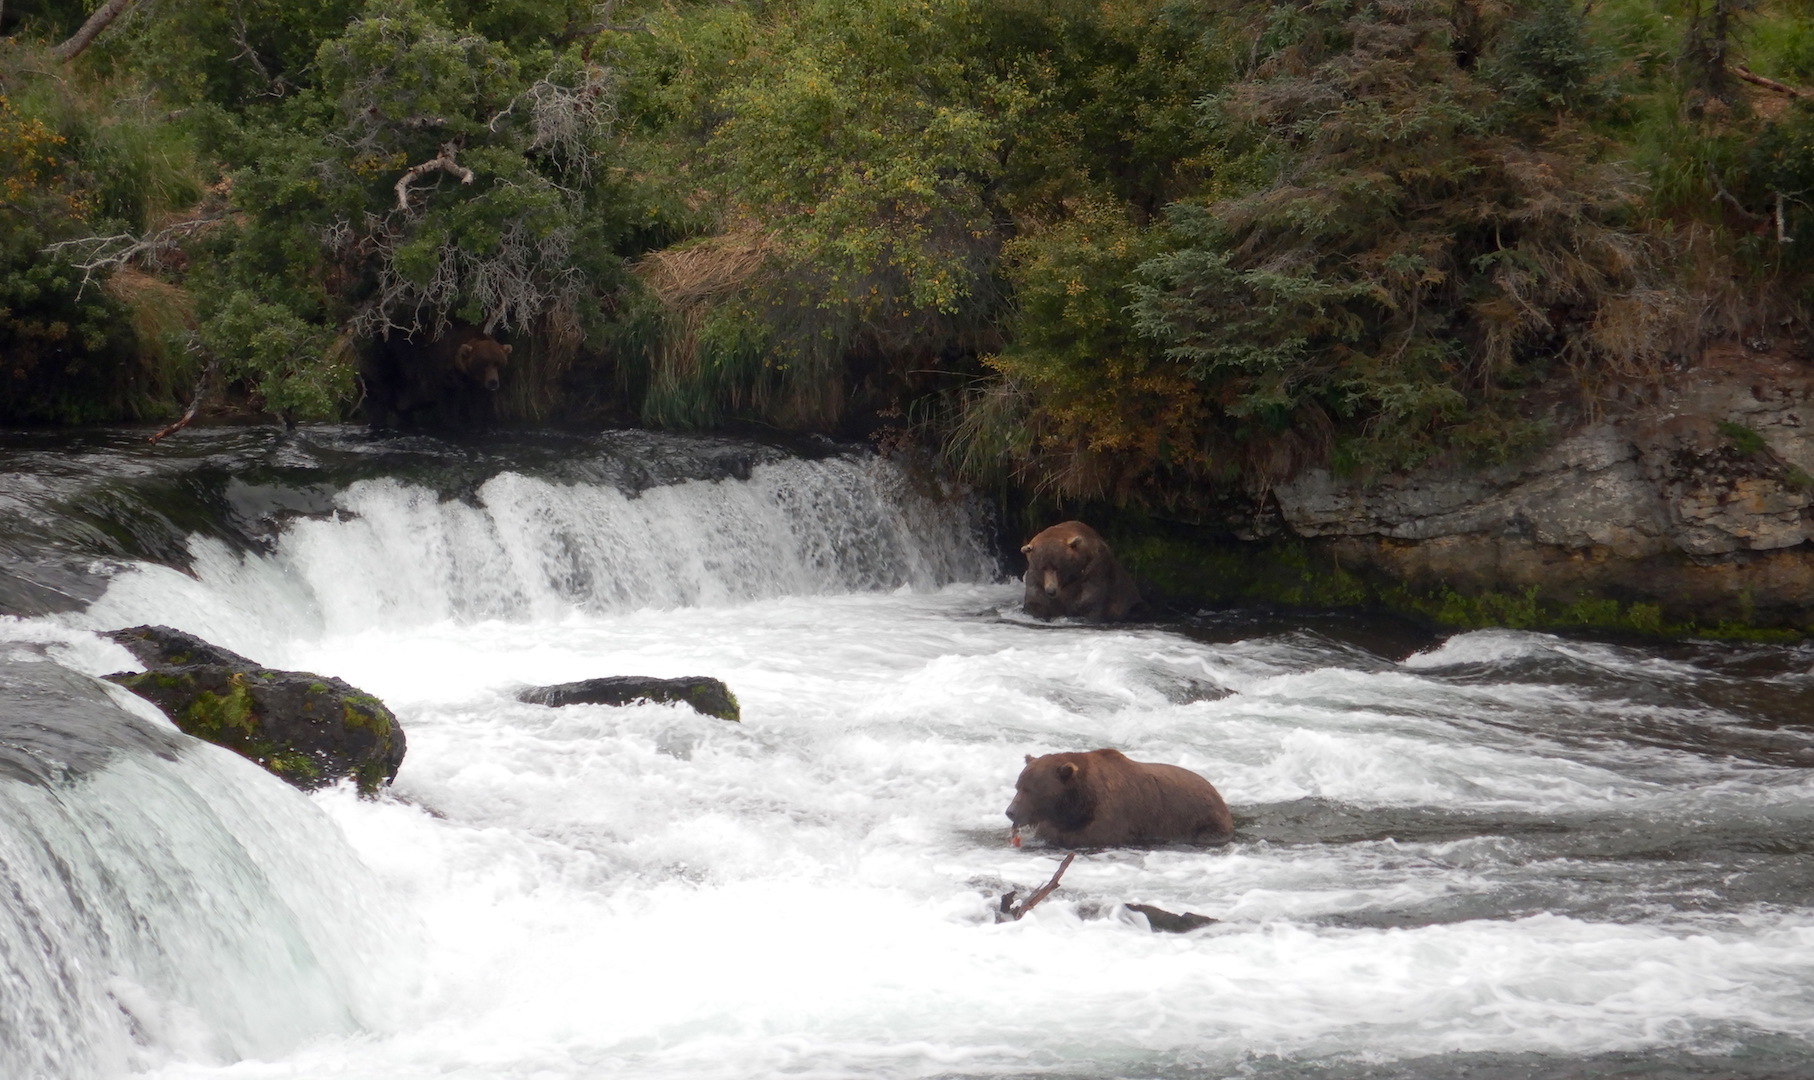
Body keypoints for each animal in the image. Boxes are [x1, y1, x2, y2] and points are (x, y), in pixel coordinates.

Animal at [361, 322, 512, 431]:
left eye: (498, 363)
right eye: (483, 364)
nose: (493, 382)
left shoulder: (474, 382)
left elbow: (478, 401)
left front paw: (477, 422)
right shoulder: (441, 373)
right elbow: (449, 402)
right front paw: (454, 424)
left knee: (403, 411)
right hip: (385, 368)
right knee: (376, 399)